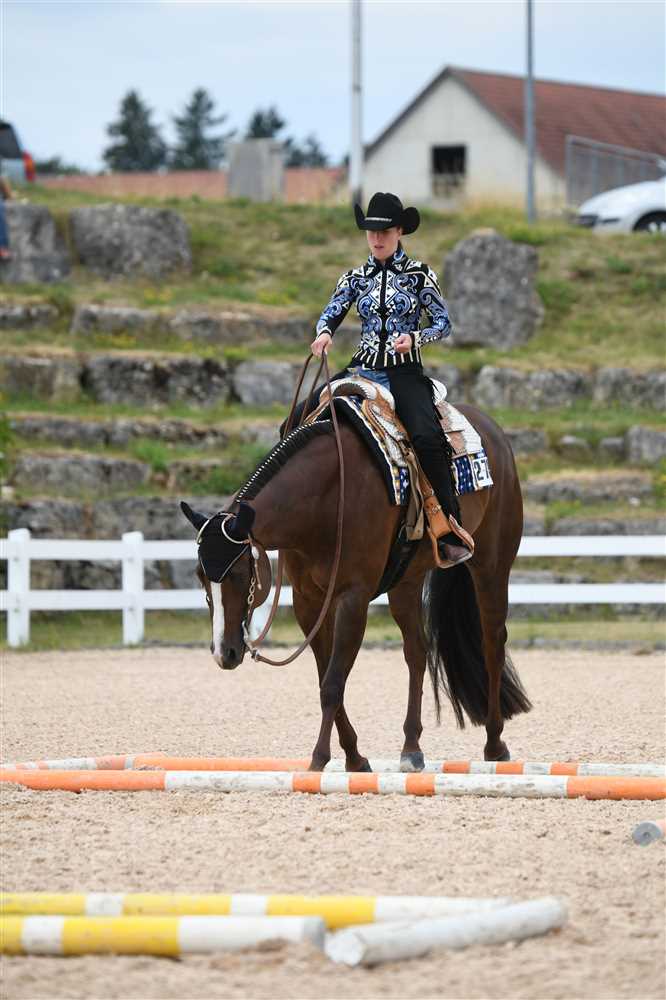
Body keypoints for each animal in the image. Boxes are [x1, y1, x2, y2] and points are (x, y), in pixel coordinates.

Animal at [181, 393, 531, 773]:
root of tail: (491, 430)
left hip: (491, 564)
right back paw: (411, 748)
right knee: (417, 651)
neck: (325, 497)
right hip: (407, 580)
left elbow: (334, 682)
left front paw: (319, 759)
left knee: (492, 643)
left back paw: (495, 744)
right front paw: (354, 757)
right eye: (201, 576)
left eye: (239, 574)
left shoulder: (353, 597)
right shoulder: (308, 601)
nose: (224, 653)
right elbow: (325, 677)